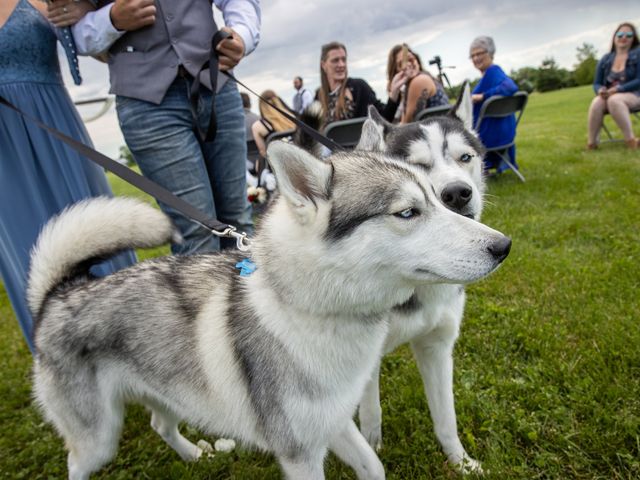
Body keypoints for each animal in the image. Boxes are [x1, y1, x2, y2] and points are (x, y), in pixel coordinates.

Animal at [28, 138, 510, 476]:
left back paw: (195, 456)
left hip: (166, 393)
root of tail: (59, 293)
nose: (503, 246)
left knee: (159, 426)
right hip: (98, 441)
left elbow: (373, 465)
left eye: (439, 199)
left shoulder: (333, 418)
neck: (307, 311)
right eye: (408, 212)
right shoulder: (299, 452)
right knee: (79, 463)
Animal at [358, 86, 488, 472]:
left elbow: (446, 418)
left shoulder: (438, 347)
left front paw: (461, 463)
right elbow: (371, 411)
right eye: (416, 166)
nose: (457, 193)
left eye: (465, 157)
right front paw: (373, 450)